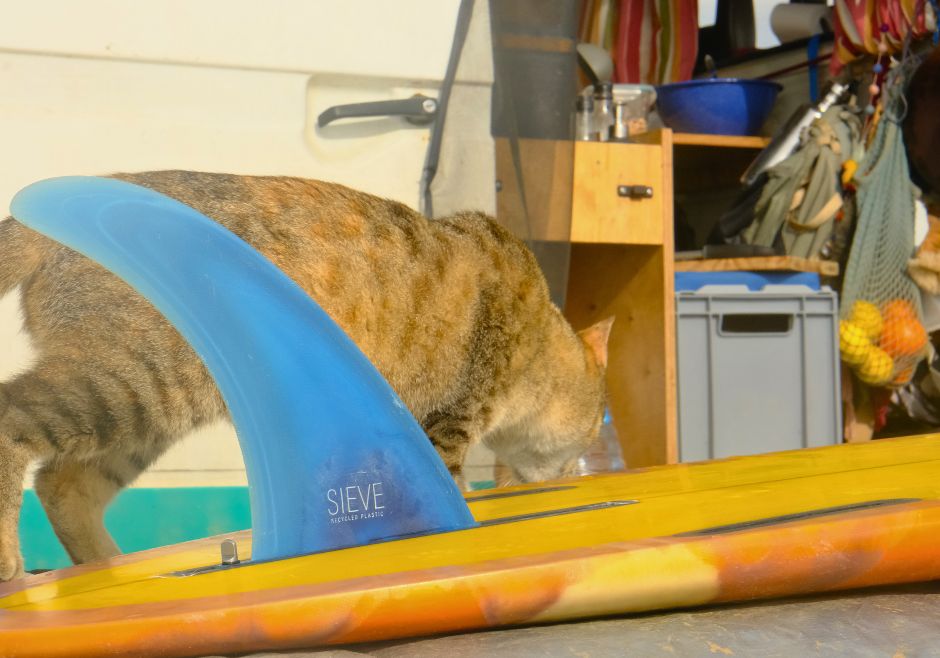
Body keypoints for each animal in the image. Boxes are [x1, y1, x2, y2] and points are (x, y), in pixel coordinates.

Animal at [0, 172, 608, 576]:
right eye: (597, 425)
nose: (581, 464)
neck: (540, 324)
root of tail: (42, 230)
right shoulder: (450, 420)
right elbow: (447, 494)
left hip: (144, 417)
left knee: (62, 484)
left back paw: (108, 567)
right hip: (130, 385)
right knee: (13, 420)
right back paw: (13, 564)